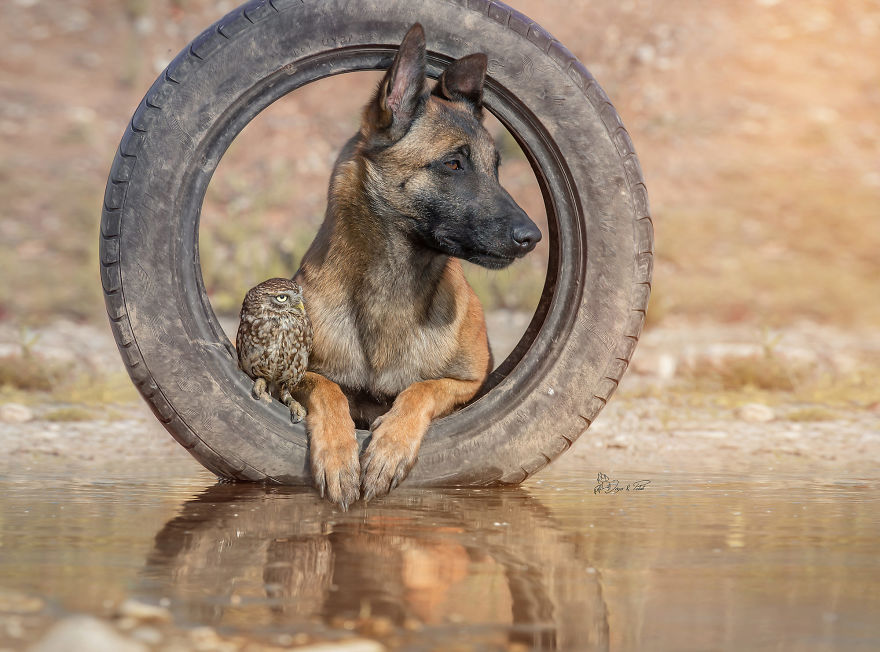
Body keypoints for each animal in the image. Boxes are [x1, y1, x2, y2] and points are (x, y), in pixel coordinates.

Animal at [292, 22, 540, 506]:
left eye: (496, 168)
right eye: (454, 164)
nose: (532, 238)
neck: (390, 289)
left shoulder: (468, 385)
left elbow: (422, 387)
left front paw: (389, 447)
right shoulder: (298, 374)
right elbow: (327, 389)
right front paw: (337, 454)